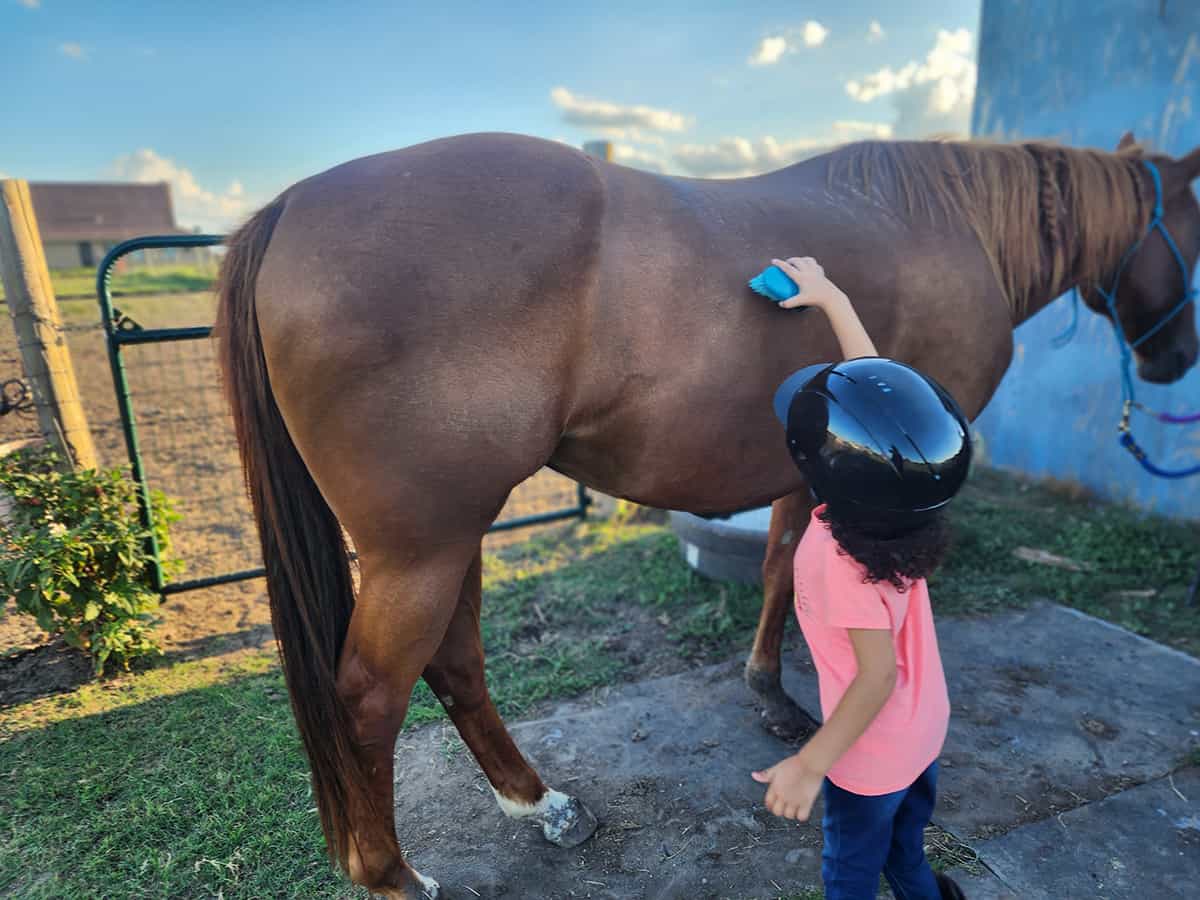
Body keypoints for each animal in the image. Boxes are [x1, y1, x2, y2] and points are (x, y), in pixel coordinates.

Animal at [213, 125, 1200, 897]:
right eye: (1194, 227)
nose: (1174, 360)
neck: (957, 225)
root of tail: (290, 206)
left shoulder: (810, 466)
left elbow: (782, 568)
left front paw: (771, 695)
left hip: (449, 538)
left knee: (454, 664)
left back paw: (541, 805)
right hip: (421, 547)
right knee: (371, 697)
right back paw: (392, 875)